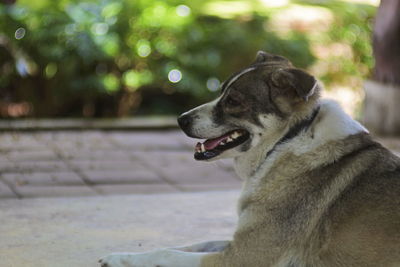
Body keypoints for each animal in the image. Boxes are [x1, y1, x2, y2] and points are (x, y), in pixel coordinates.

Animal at [100, 51, 400, 266]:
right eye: (221, 90)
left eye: (233, 101)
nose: (180, 120)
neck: (287, 140)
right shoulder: (238, 243)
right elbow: (190, 244)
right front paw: (121, 257)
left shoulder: (243, 257)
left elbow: (169, 254)